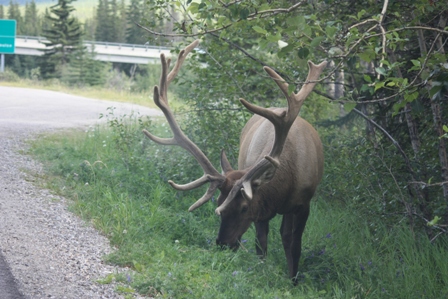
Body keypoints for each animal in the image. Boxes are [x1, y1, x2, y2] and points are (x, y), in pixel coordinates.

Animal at [144, 39, 326, 284]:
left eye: (244, 207)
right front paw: (262, 271)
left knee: (286, 236)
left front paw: (293, 280)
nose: (222, 243)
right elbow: (262, 243)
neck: (287, 180)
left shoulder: (303, 203)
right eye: (219, 202)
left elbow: (294, 245)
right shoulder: (263, 210)